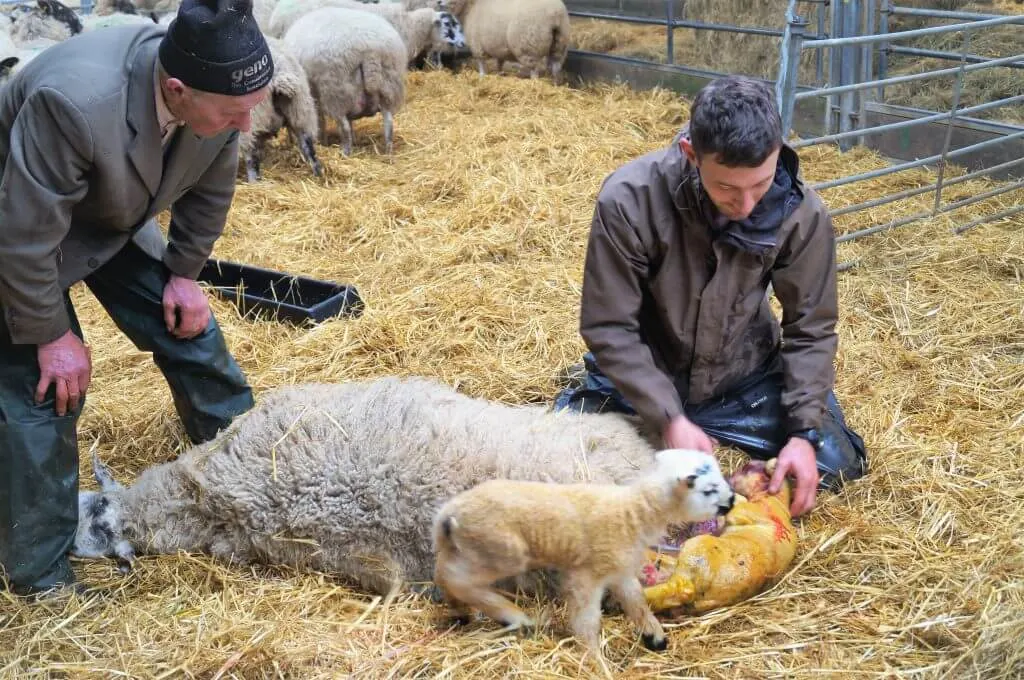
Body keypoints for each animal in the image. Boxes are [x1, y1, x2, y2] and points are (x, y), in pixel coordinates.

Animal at [238, 34, 321, 182]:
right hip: (300, 109)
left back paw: (253, 182)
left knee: (251, 155)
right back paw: (318, 177)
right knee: (308, 146)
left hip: (250, 117)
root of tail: (279, 73)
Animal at [284, 6, 407, 155]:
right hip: (388, 87)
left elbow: (319, 121)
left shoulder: (313, 95)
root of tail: (369, 49)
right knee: (388, 123)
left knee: (344, 127)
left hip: (336, 92)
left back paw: (345, 152)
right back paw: (388, 152)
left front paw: (321, 142)